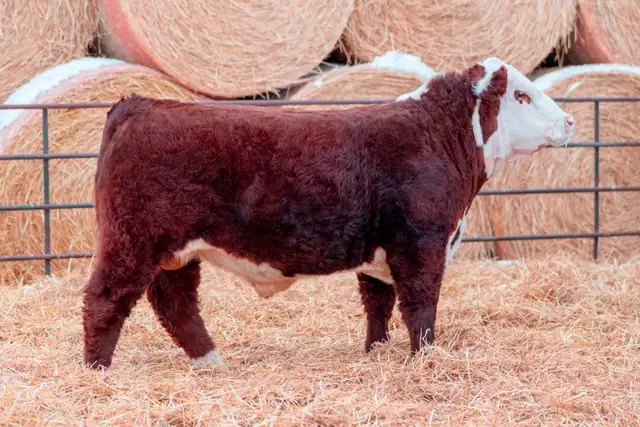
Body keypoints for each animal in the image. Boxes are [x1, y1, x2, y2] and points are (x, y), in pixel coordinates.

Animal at [82, 57, 575, 369]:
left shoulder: (383, 252)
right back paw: (97, 371)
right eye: (522, 96)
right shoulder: (422, 242)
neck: (438, 138)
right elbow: (421, 305)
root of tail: (139, 104)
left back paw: (211, 362)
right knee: (104, 299)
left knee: (176, 305)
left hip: (176, 252)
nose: (570, 122)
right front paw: (424, 359)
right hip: (132, 239)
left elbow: (379, 303)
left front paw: (376, 352)